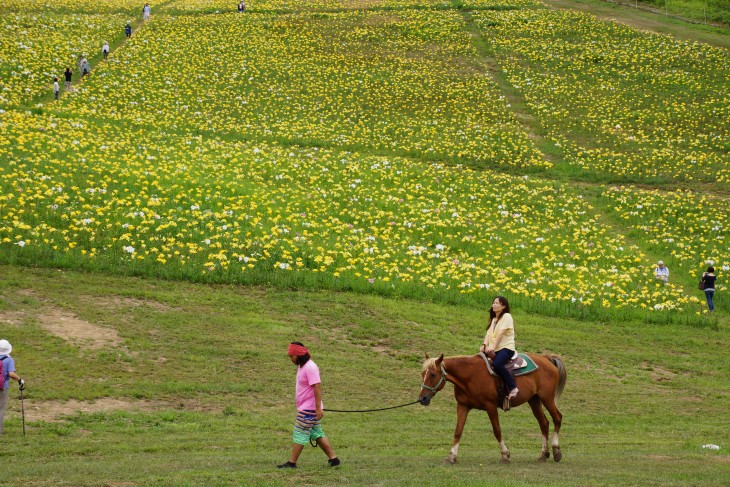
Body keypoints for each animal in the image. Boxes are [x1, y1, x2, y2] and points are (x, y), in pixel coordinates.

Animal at [418, 354, 564, 466]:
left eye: (432, 374)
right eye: (422, 374)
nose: (422, 398)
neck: (470, 375)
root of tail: (546, 358)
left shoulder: (490, 406)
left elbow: (497, 430)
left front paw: (505, 455)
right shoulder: (462, 406)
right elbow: (458, 431)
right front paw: (451, 456)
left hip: (547, 399)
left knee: (557, 418)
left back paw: (556, 450)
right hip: (534, 400)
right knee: (544, 423)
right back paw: (543, 454)